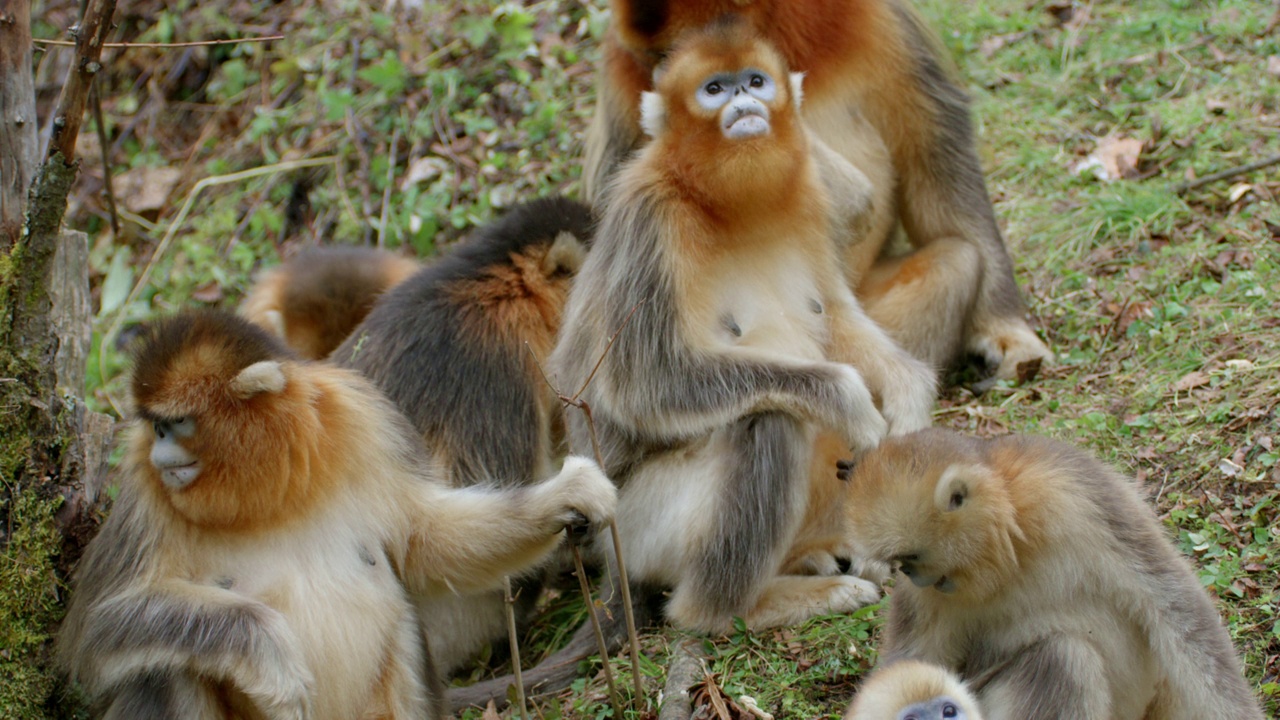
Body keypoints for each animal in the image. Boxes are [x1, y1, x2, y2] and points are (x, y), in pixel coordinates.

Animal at [844, 427, 1264, 712]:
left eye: (910, 559)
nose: (911, 576)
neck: (1011, 553)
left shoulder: (1071, 491)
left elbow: (1173, 606)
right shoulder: (923, 598)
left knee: (1061, 657)